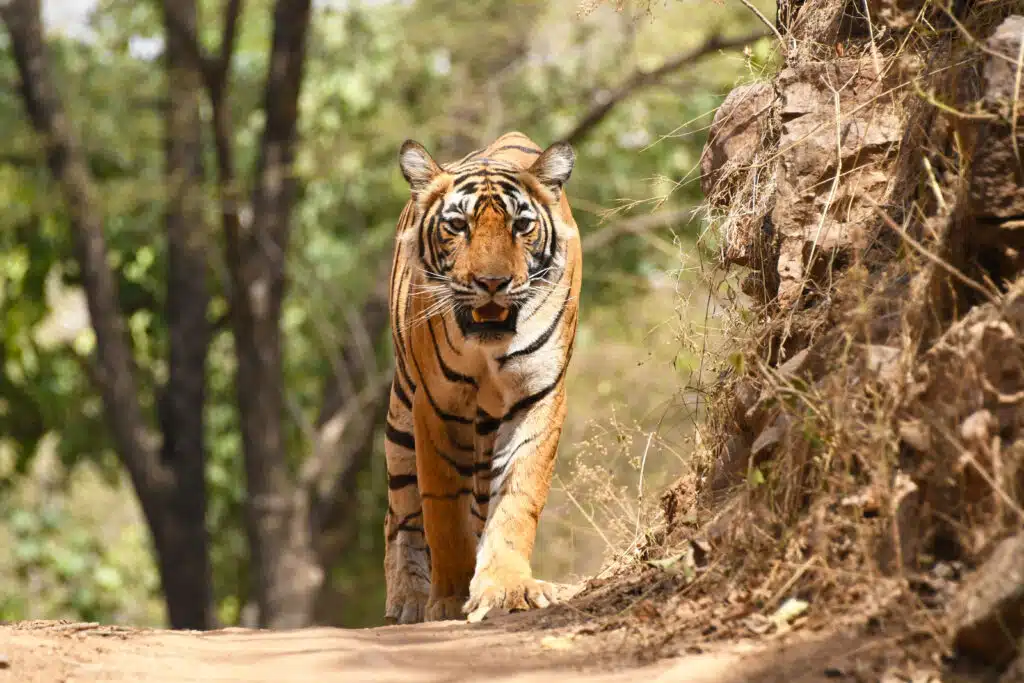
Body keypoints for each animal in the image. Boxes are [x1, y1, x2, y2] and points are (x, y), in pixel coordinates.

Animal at [383, 131, 581, 624]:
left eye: (521, 226)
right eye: (458, 226)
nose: (492, 282)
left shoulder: (538, 395)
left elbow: (517, 495)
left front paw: (506, 588)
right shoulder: (436, 403)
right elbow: (441, 509)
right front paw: (449, 598)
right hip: (400, 418)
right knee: (401, 514)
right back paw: (408, 597)